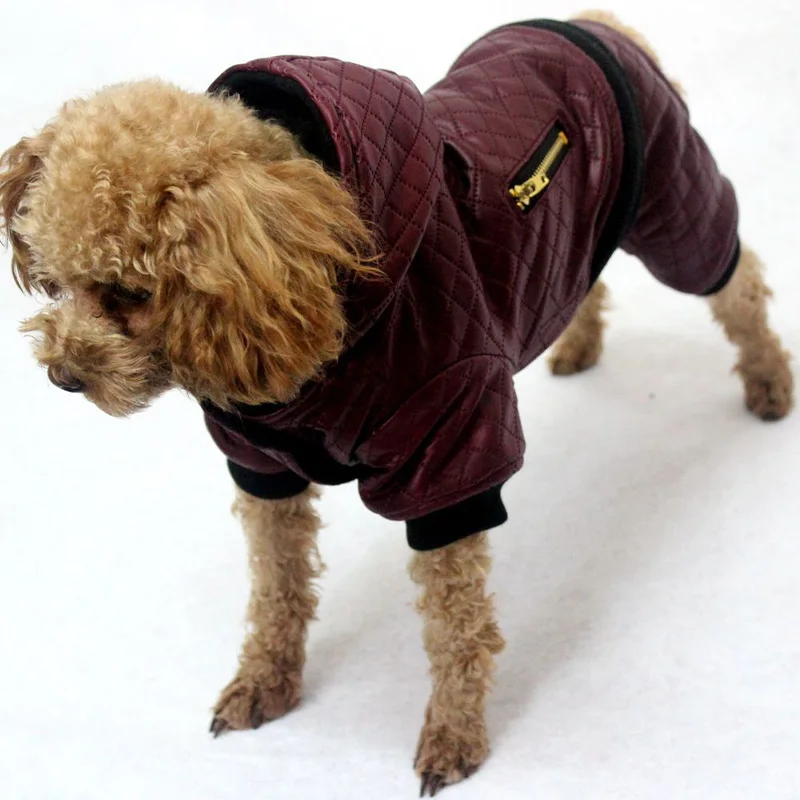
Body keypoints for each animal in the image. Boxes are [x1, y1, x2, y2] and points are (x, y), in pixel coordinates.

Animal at [0, 9, 792, 796]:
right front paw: (264, 682)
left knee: (736, 279)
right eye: (58, 281)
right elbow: (276, 586)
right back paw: (579, 344)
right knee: (585, 279)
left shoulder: (447, 444)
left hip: (672, 205)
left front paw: (454, 732)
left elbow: (455, 621)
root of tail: (591, 24)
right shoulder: (262, 466)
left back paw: (769, 382)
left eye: (128, 292)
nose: (63, 375)